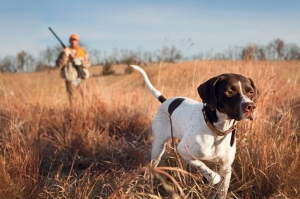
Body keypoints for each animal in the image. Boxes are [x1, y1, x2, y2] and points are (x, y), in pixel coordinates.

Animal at [130, 65, 258, 197]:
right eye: (229, 92)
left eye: (251, 92)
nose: (251, 106)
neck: (217, 131)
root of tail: (165, 101)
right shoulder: (183, 150)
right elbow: (211, 173)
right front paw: (211, 177)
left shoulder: (226, 168)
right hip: (158, 149)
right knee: (151, 169)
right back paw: (149, 188)